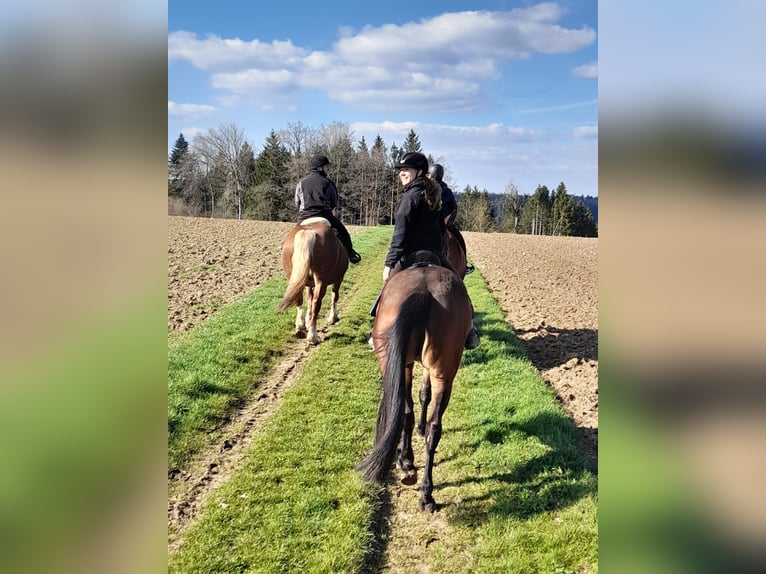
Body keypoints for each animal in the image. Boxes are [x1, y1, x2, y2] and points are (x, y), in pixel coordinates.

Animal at [278, 218, 350, 346]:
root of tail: (308, 231)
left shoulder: (307, 283)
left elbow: (309, 298)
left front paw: (307, 319)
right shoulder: (339, 278)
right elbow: (334, 296)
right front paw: (333, 318)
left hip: (294, 278)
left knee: (299, 299)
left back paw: (300, 328)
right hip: (321, 281)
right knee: (317, 301)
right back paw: (312, 336)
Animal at [358, 266, 474, 512]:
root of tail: (424, 292)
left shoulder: (408, 364)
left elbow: (419, 397)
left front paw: (407, 455)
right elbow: (423, 395)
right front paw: (419, 431)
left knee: (408, 412)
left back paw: (408, 465)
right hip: (443, 371)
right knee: (434, 427)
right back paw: (426, 493)